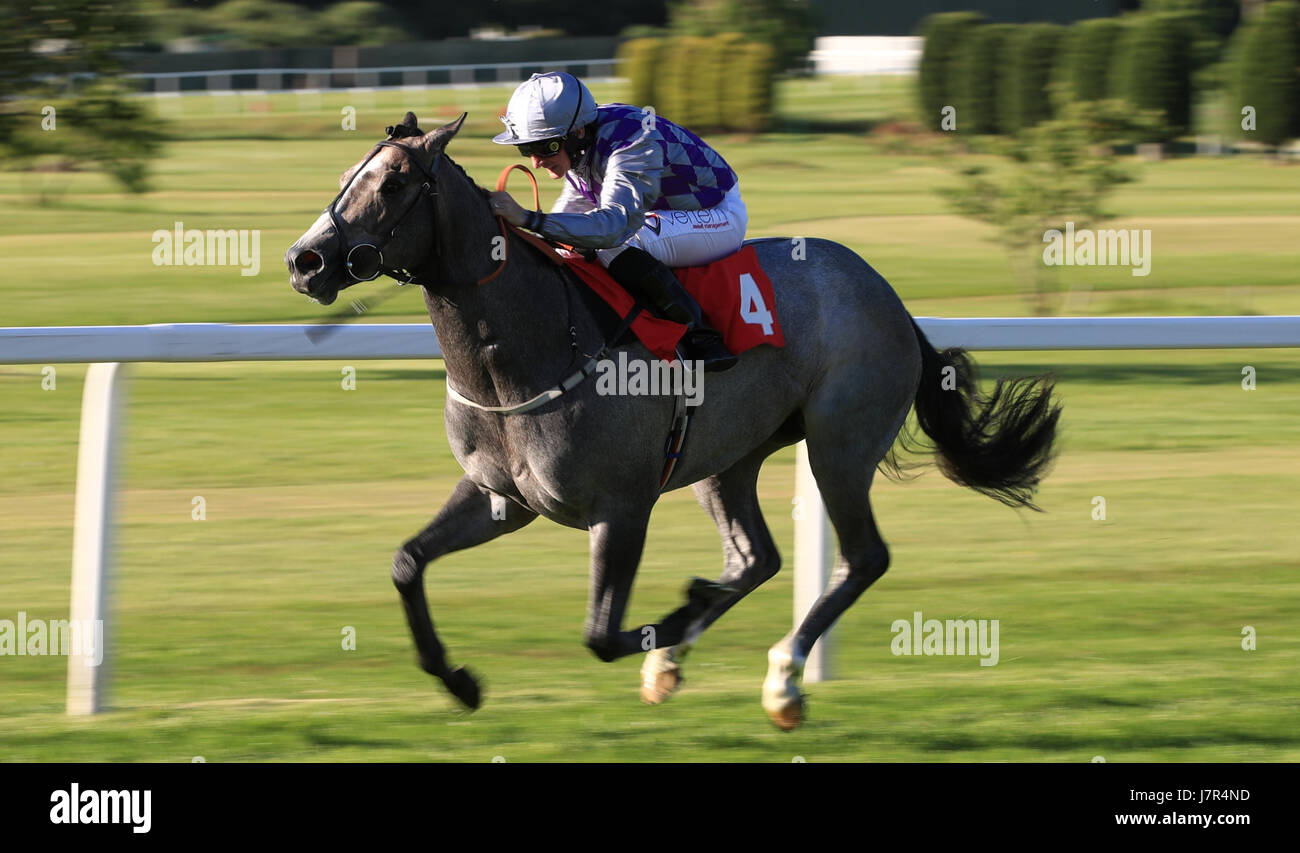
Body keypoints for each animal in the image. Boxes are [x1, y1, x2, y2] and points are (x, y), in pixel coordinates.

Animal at [282, 109, 1055, 728]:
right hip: (730, 458)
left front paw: (679, 615)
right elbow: (407, 562)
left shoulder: (622, 507)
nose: (304, 259)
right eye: (348, 174)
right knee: (757, 556)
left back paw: (782, 679)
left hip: (839, 442)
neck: (528, 347)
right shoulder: (502, 497)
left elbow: (601, 633)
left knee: (863, 557)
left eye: (391, 184)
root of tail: (890, 298)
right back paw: (689, 655)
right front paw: (461, 682)